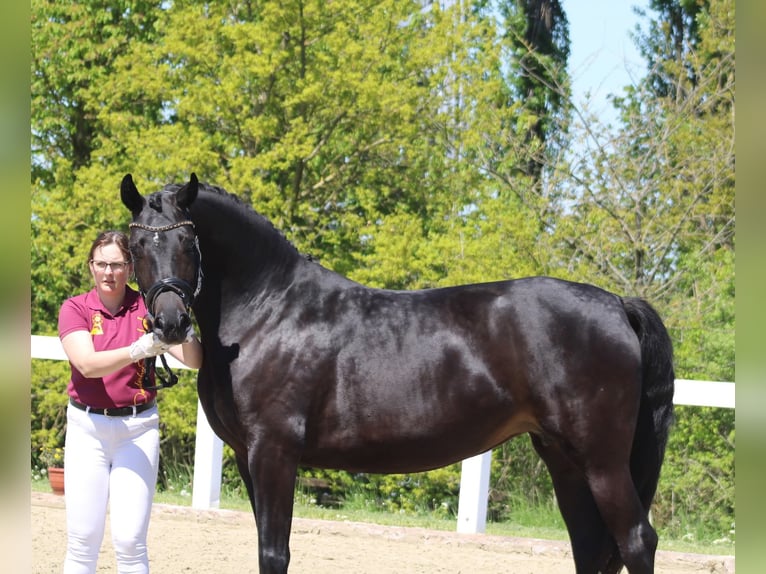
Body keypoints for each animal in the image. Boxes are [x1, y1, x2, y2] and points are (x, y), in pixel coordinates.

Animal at [120, 173, 675, 574]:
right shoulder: (247, 454)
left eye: (188, 241)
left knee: (635, 541)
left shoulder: (274, 451)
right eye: (137, 245)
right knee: (591, 546)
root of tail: (616, 304)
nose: (170, 323)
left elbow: (274, 552)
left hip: (601, 459)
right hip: (563, 457)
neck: (270, 309)